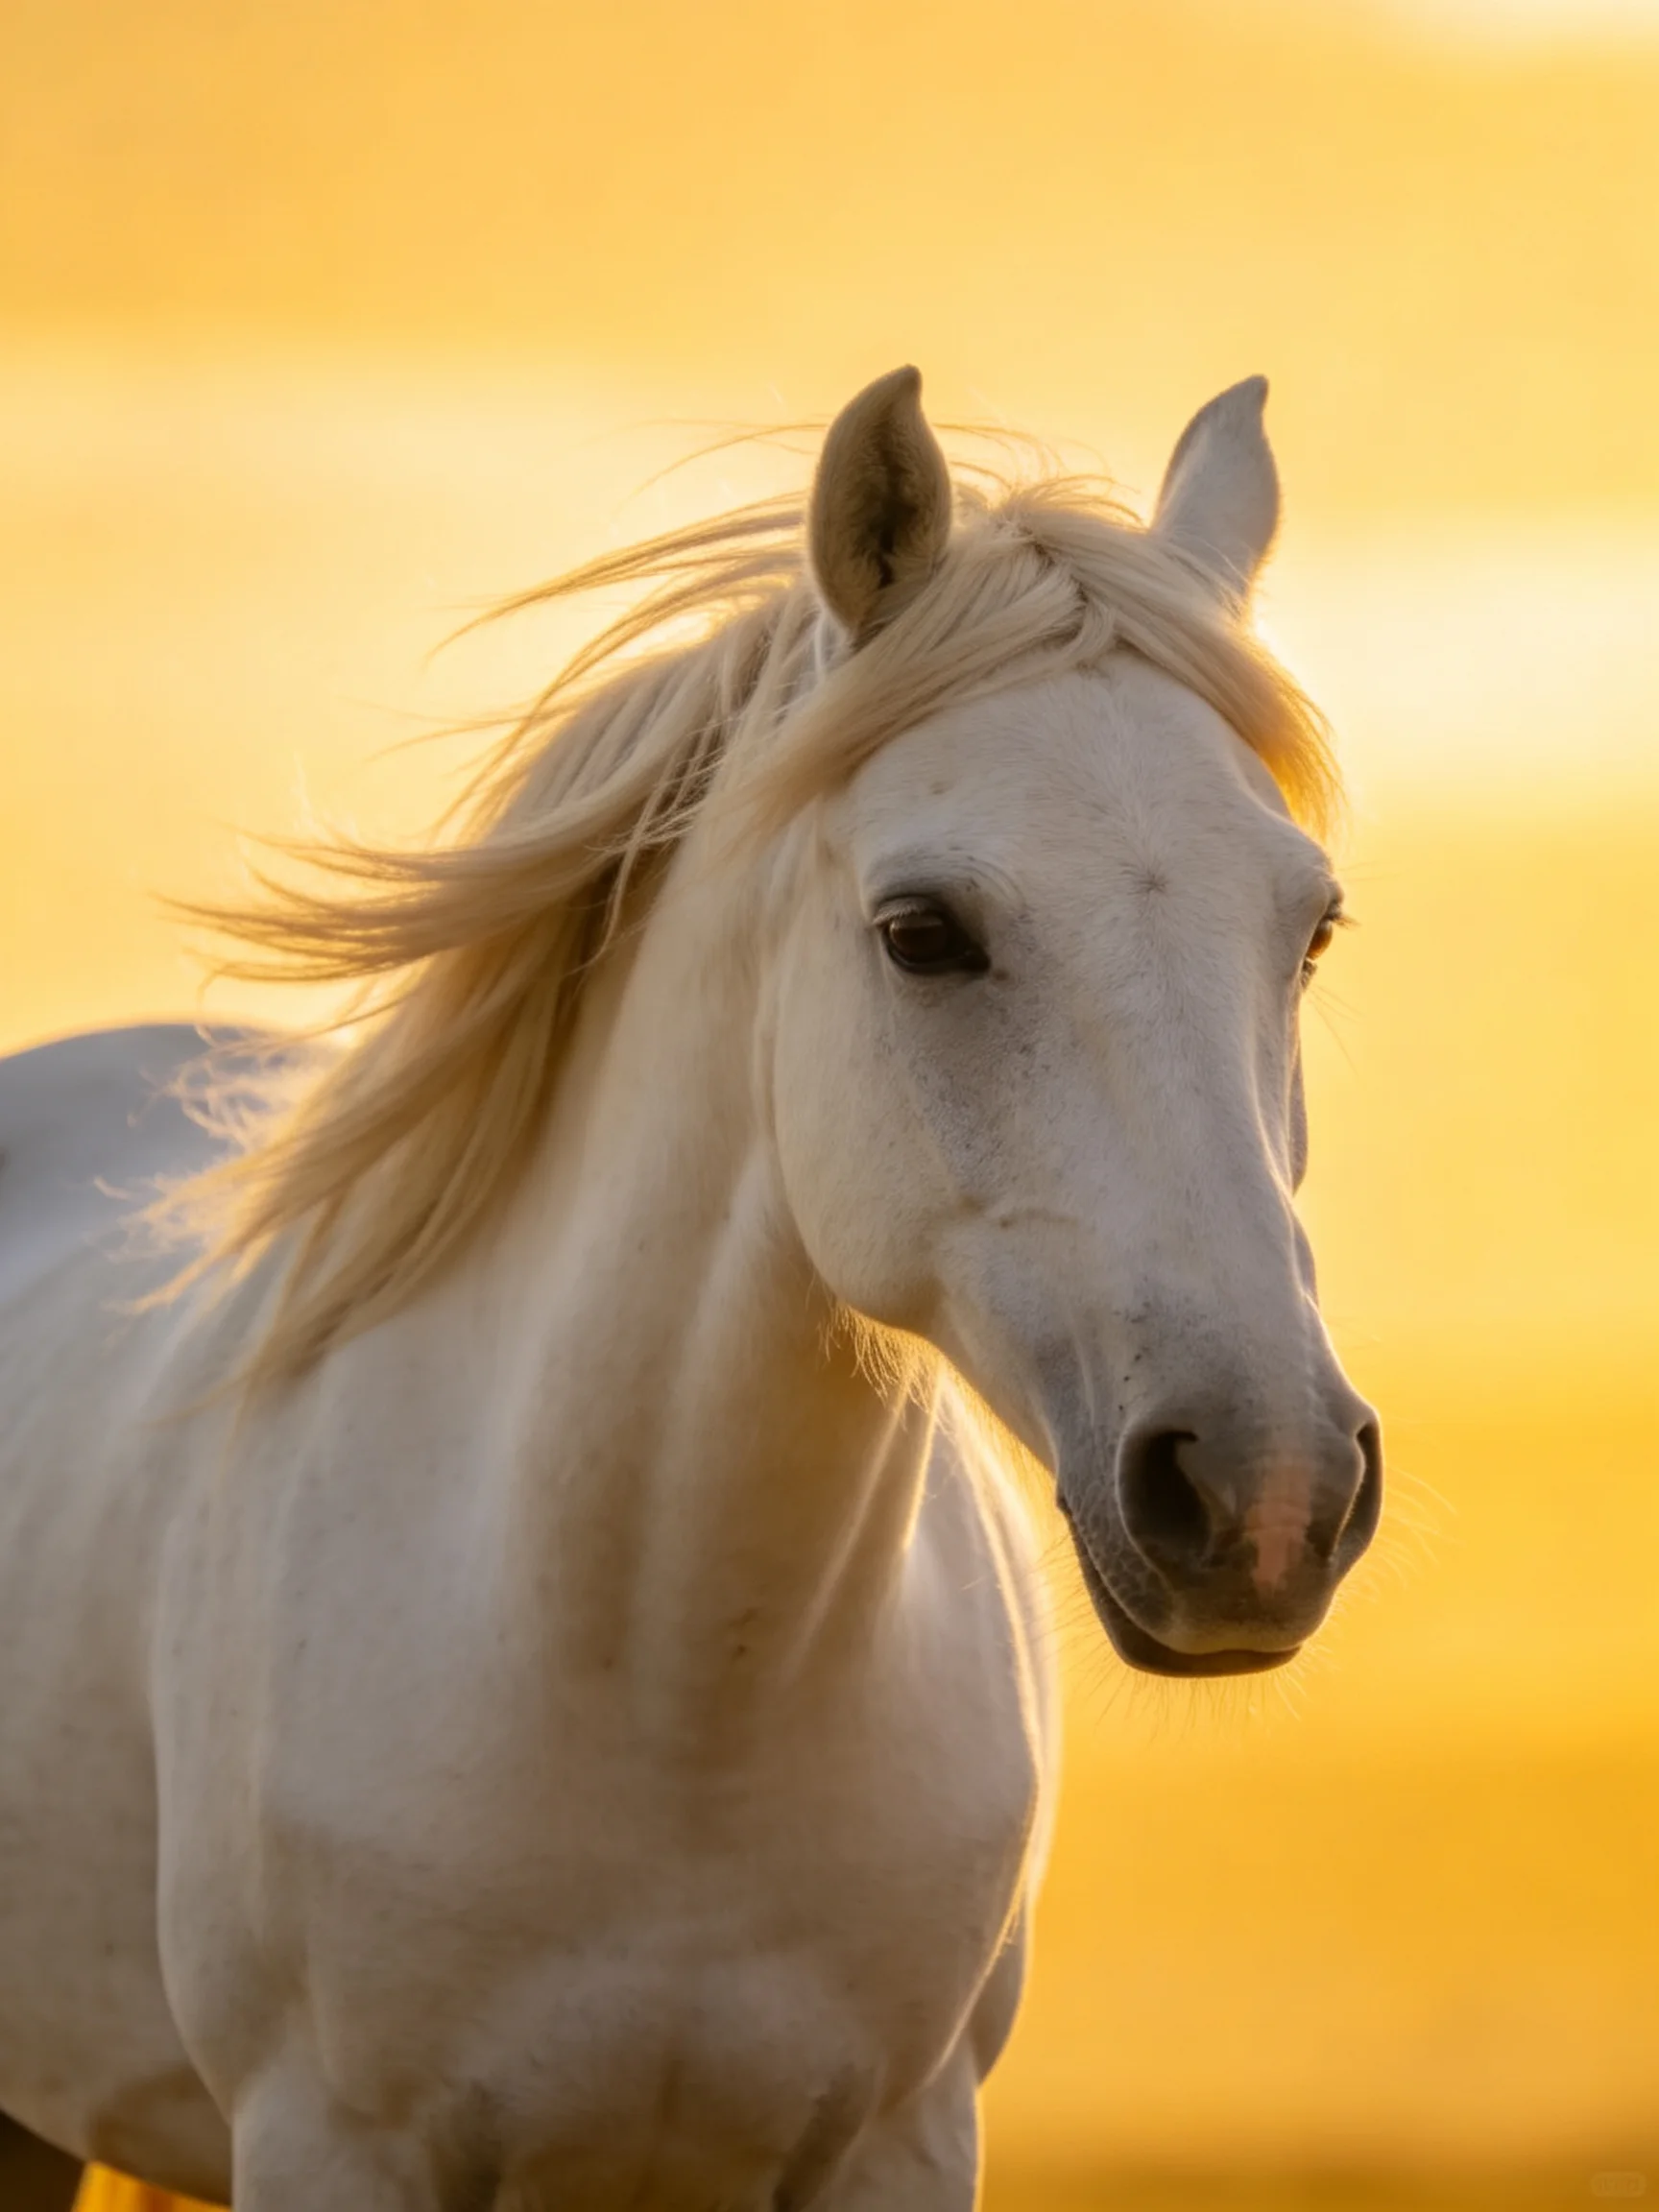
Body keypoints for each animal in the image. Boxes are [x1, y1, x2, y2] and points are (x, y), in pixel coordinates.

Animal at [0, 366, 1382, 2210]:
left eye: (1310, 926)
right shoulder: (332, 2143)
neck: (673, 1690)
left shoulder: (899, 2142)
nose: (1264, 1491)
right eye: (922, 929)